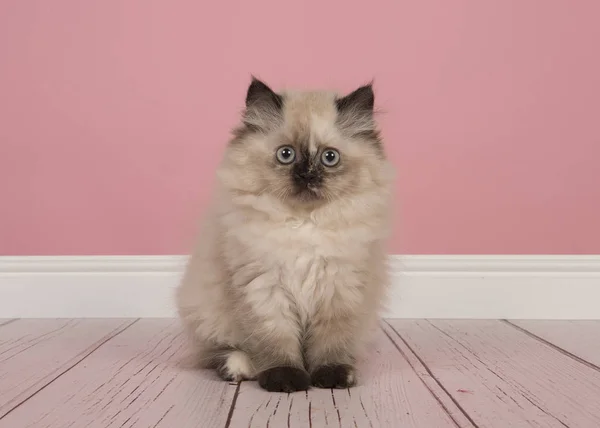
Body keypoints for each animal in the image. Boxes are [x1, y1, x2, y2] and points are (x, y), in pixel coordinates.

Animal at [176, 77, 394, 392]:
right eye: (286, 154)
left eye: (329, 158)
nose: (306, 175)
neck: (303, 224)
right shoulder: (264, 288)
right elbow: (276, 343)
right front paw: (286, 380)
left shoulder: (338, 289)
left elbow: (330, 343)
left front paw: (331, 377)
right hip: (206, 311)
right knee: (217, 351)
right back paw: (239, 368)